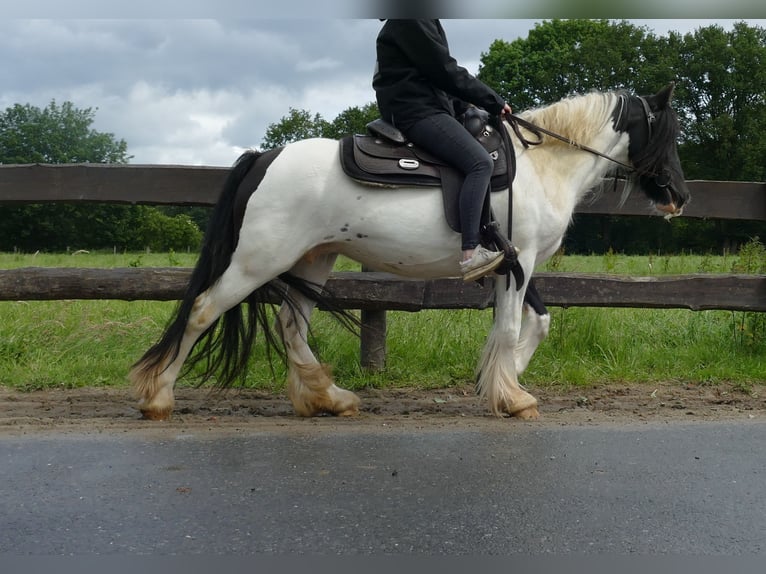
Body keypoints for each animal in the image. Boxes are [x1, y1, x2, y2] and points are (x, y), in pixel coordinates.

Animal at [129, 82, 692, 424]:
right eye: (668, 133)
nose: (679, 196)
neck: (542, 164)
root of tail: (266, 156)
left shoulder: (514, 264)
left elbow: (534, 323)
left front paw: (499, 380)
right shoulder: (521, 261)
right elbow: (512, 328)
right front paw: (511, 395)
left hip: (313, 260)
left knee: (292, 326)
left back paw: (327, 398)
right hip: (258, 261)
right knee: (203, 310)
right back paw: (158, 398)